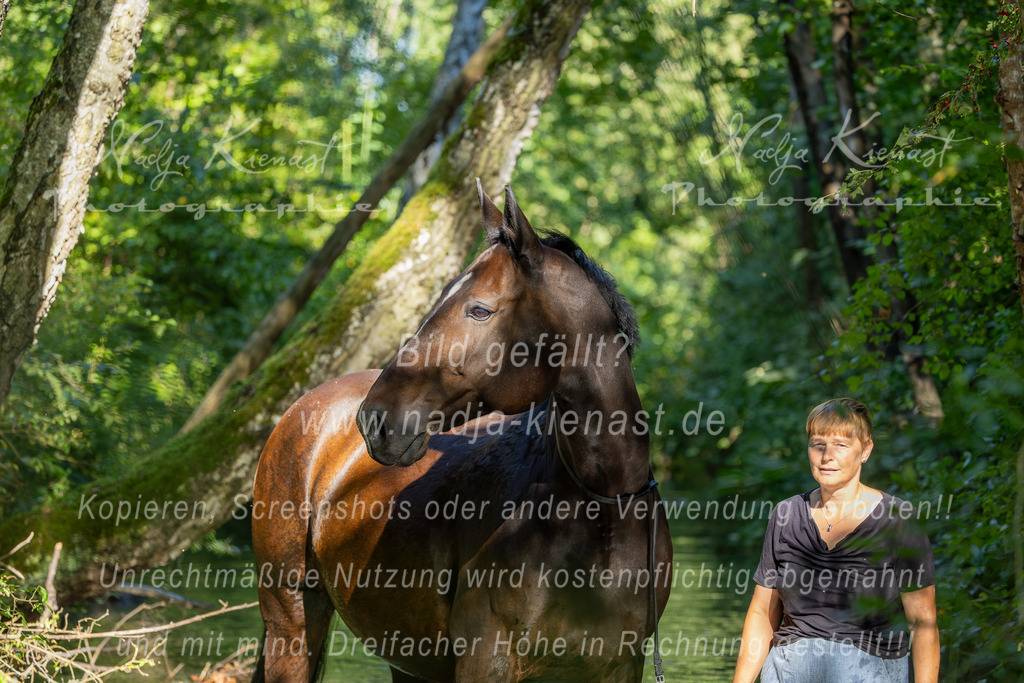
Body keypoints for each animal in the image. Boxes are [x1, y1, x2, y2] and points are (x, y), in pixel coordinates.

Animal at [251, 181, 672, 682]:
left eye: (480, 310)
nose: (374, 419)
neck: (603, 508)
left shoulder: (621, 664)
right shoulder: (485, 657)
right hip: (292, 624)